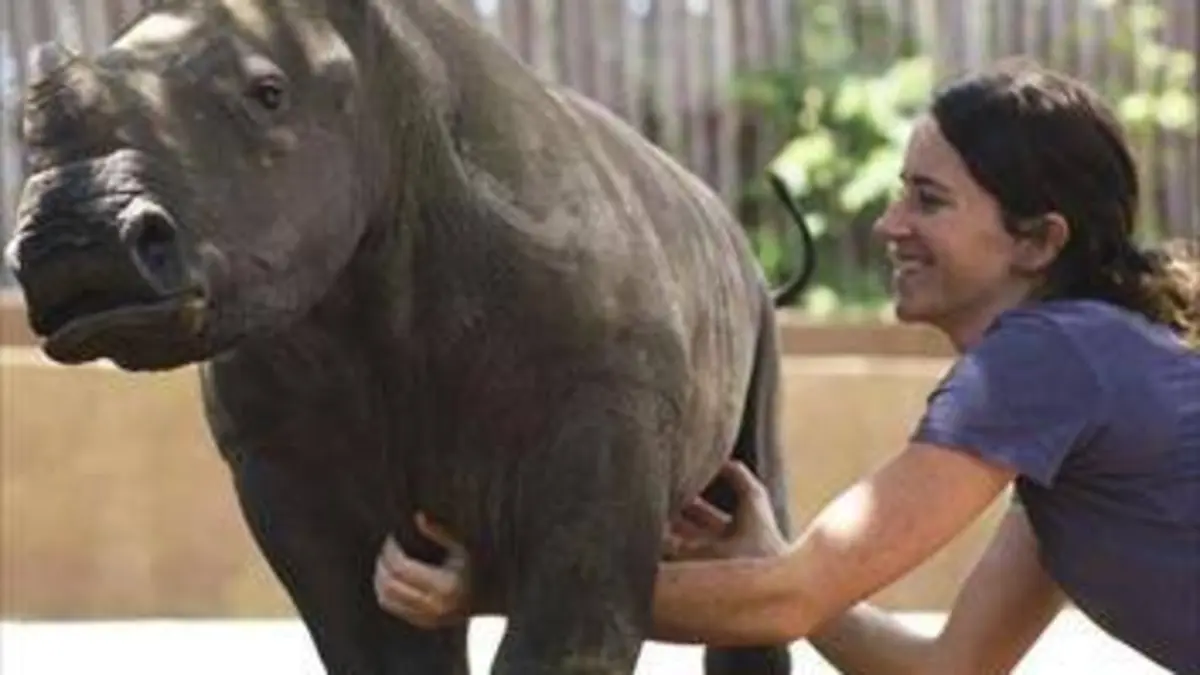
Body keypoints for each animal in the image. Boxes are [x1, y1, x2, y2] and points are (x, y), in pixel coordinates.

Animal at [4, 0, 816, 673]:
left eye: (269, 95)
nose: (76, 245)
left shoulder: (608, 402)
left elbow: (570, 635)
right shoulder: (276, 454)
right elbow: (376, 643)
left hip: (750, 308)